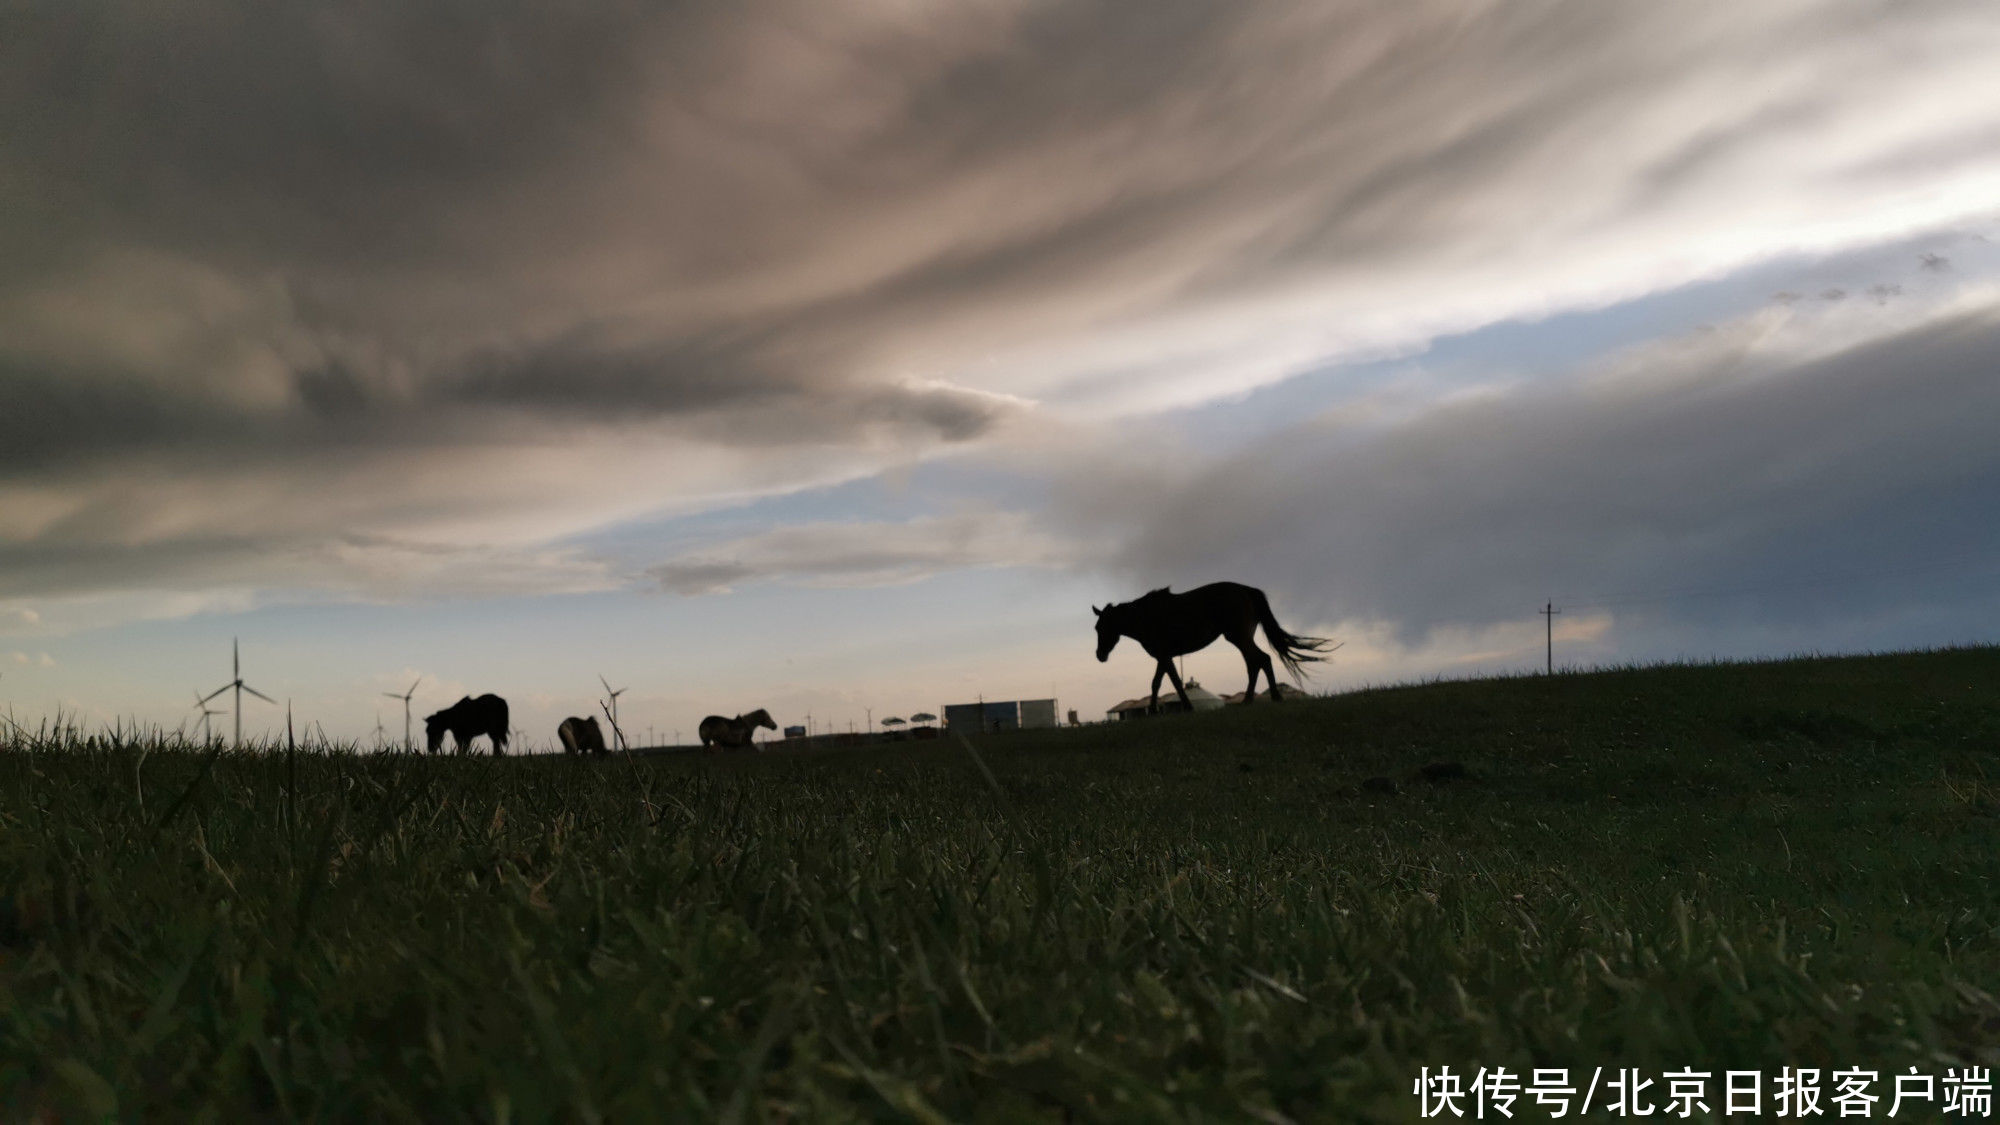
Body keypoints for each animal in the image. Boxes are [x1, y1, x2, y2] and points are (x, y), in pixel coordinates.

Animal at [1088, 576, 1336, 708]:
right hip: (1240, 638)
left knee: (1260, 660)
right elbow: (1162, 682)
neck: (1146, 616)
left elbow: (1168, 683)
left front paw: (1174, 708)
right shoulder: (1164, 656)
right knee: (1255, 663)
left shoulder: (1164, 655)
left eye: (1102, 628)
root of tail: (1247, 591)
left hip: (1239, 637)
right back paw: (1254, 699)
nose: (1100, 655)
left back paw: (1269, 697)